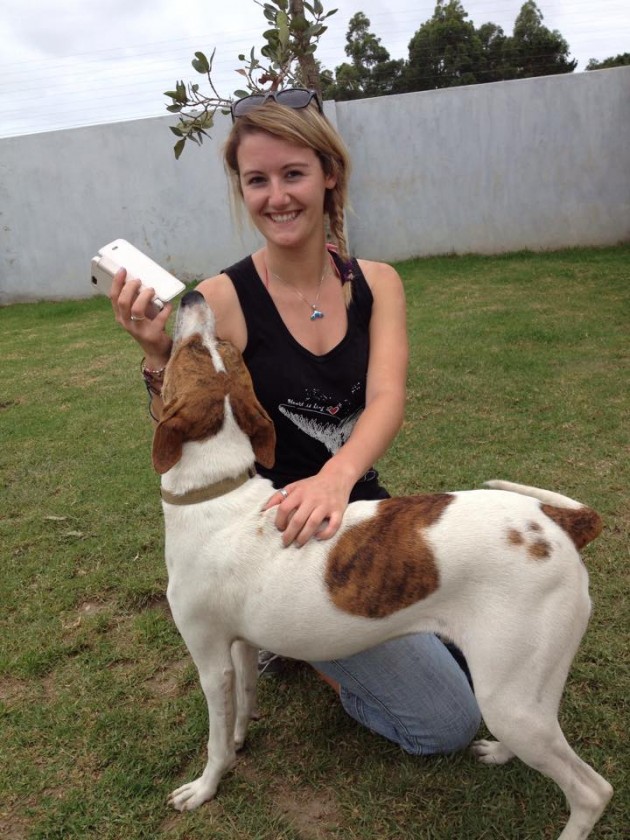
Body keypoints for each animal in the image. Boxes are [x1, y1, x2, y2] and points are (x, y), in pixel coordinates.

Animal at [153, 290, 612, 840]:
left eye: (196, 350)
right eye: (216, 349)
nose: (194, 296)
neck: (219, 495)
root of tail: (556, 522)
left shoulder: (210, 660)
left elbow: (216, 739)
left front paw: (206, 787)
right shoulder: (238, 647)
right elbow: (243, 706)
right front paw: (243, 739)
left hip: (511, 699)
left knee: (591, 790)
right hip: (524, 689)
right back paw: (500, 753)